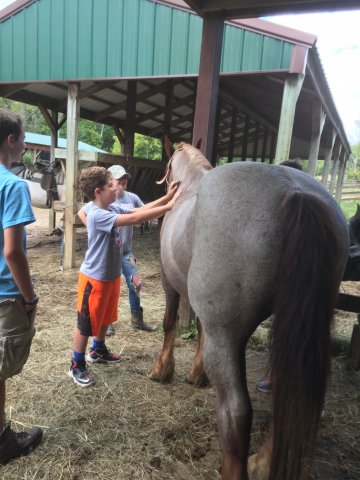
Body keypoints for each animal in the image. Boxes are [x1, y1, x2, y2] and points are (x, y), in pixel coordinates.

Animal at [150, 142, 350, 480]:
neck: (190, 187)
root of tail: (294, 191)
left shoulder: (171, 284)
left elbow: (169, 323)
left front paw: (163, 370)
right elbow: (199, 330)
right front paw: (196, 374)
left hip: (227, 340)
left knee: (236, 412)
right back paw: (262, 464)